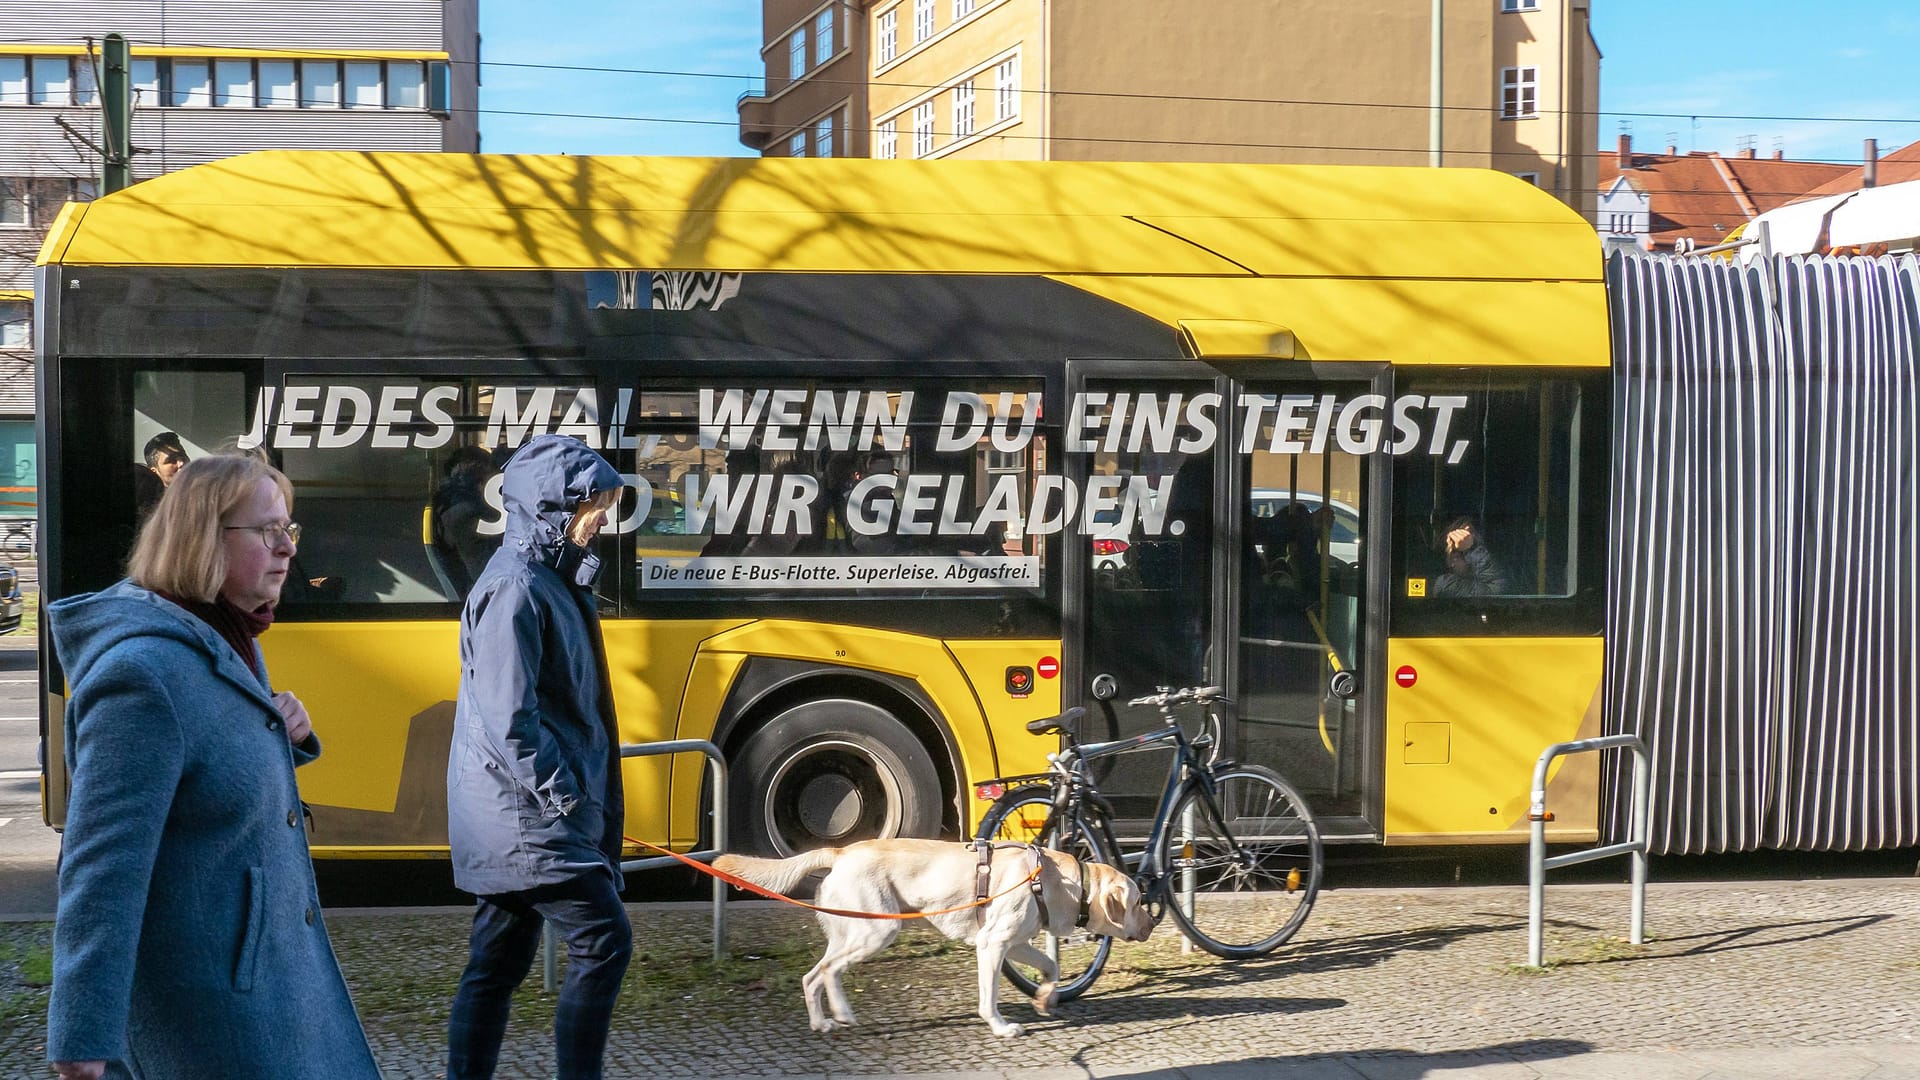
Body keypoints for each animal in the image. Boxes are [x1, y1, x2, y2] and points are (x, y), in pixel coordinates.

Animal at [714, 834, 1144, 1037]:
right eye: (1138, 901)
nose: (1153, 921)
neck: (1057, 881)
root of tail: (840, 852)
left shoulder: (1017, 943)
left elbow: (1050, 966)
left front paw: (1043, 999)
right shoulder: (992, 945)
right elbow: (989, 999)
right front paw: (1001, 1026)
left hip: (848, 934)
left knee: (812, 976)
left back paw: (823, 1022)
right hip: (878, 931)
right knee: (831, 972)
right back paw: (844, 1013)